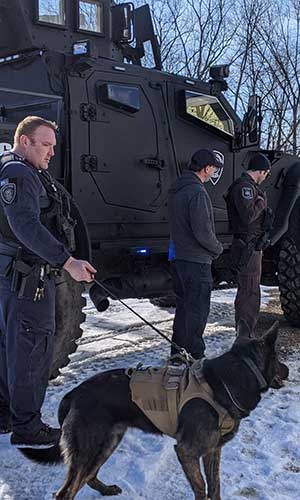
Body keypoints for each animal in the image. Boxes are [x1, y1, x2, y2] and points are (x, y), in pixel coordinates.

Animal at [21, 320, 288, 500]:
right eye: (277, 359)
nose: (288, 370)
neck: (227, 381)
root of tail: (72, 395)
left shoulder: (213, 451)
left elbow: (215, 486)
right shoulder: (187, 452)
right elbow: (201, 488)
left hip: (106, 443)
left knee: (89, 477)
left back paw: (106, 489)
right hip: (89, 448)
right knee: (66, 491)